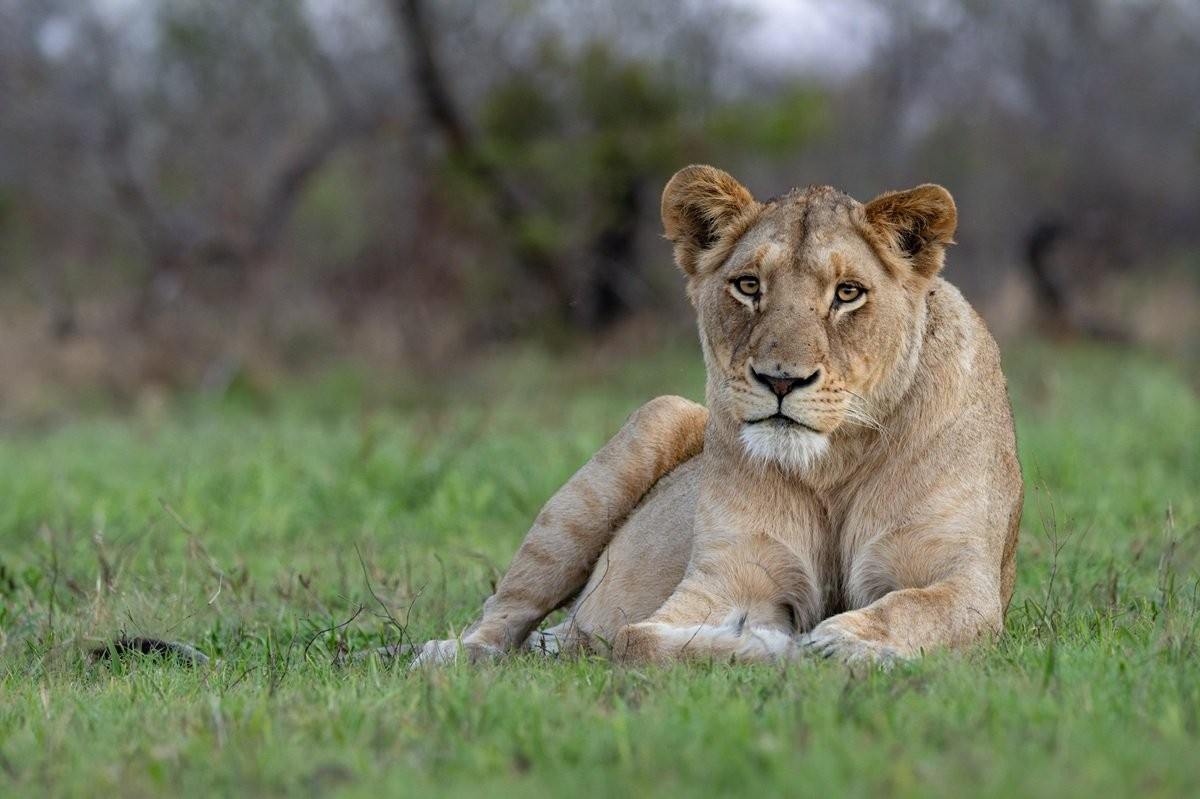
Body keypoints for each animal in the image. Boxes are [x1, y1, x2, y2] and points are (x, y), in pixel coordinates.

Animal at [412, 165, 1023, 665]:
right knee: (502, 616)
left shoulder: (967, 583)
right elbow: (640, 639)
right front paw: (778, 646)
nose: (781, 380)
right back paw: (449, 654)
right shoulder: (725, 575)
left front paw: (842, 644)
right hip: (641, 436)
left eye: (848, 293)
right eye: (748, 285)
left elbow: (912, 608)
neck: (834, 462)